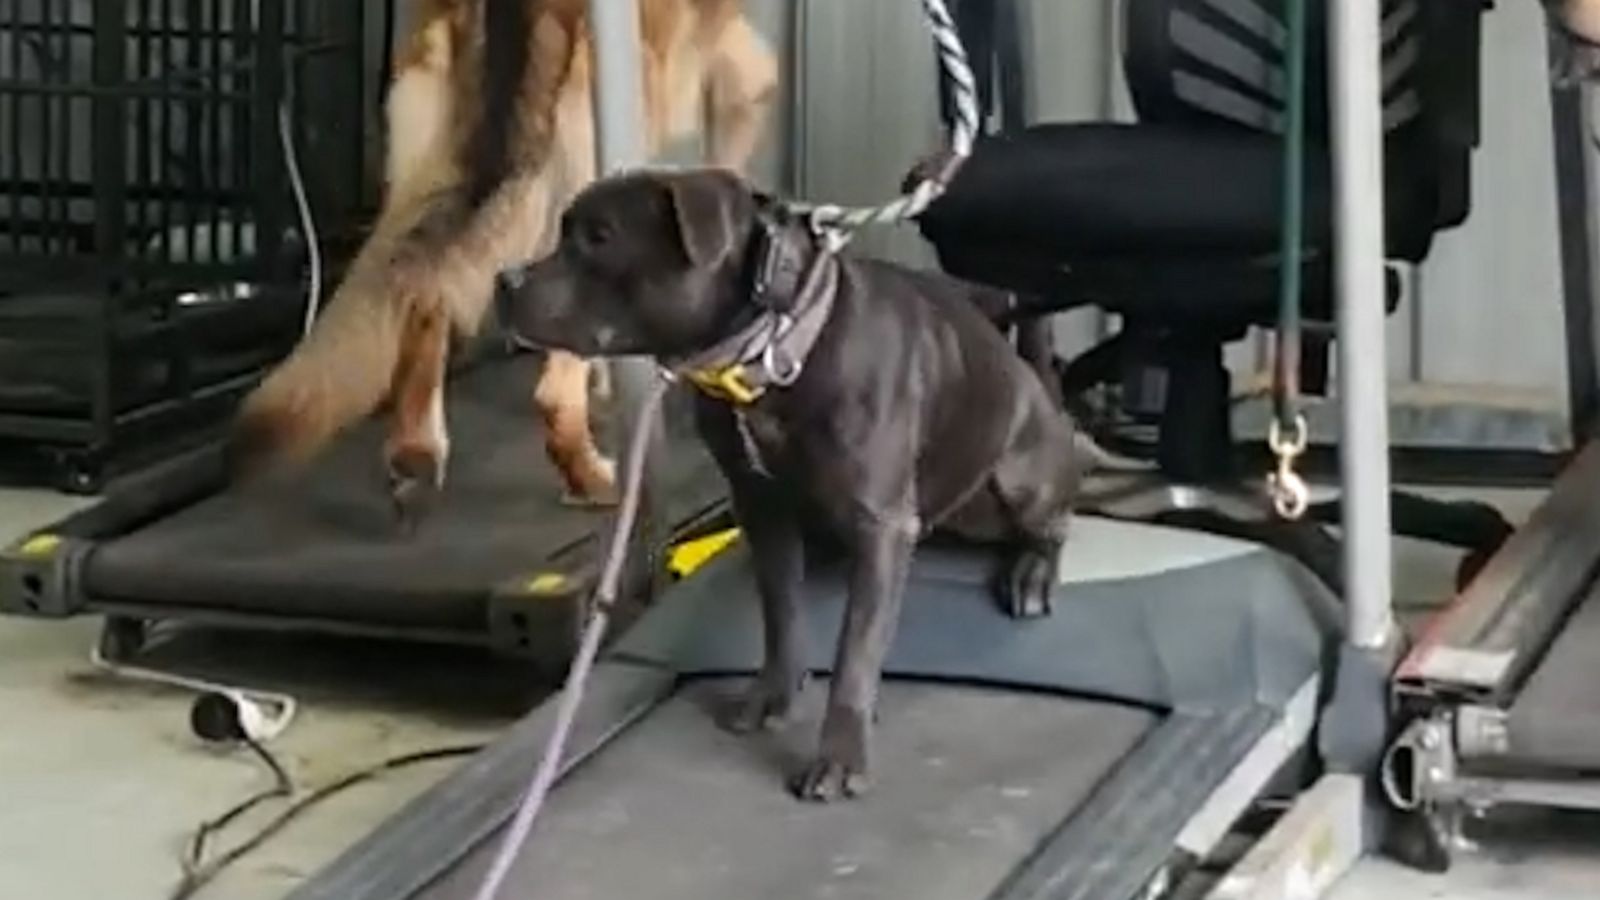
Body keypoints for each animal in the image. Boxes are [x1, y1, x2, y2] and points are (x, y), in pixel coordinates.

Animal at [492, 168, 1081, 797]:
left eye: (600, 237)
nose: (504, 280)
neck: (770, 355)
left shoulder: (882, 523)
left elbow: (856, 648)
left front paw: (840, 753)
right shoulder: (761, 504)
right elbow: (781, 611)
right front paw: (774, 692)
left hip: (1014, 480)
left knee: (1051, 523)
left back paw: (1032, 571)